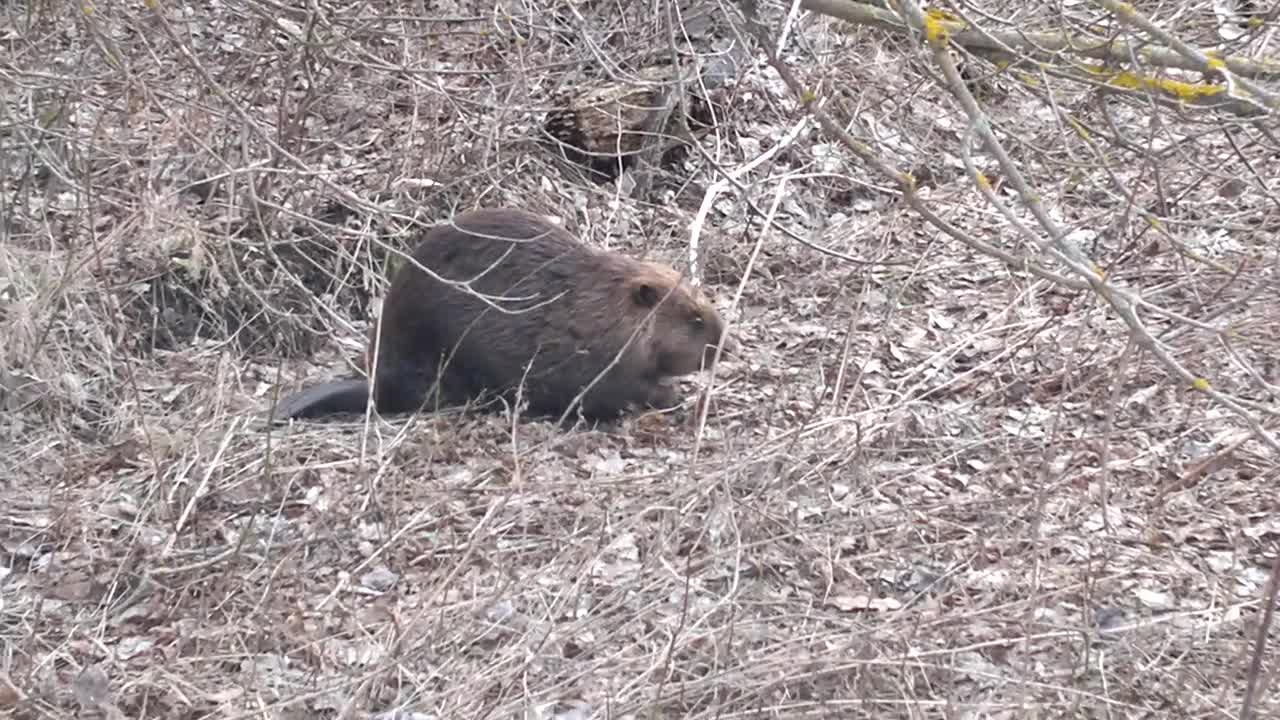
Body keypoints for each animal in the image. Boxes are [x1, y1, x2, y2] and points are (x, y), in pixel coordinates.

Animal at [272, 206, 732, 420]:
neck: (601, 307)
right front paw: (672, 395)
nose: (723, 343)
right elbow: (618, 390)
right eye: (694, 319)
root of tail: (374, 384)